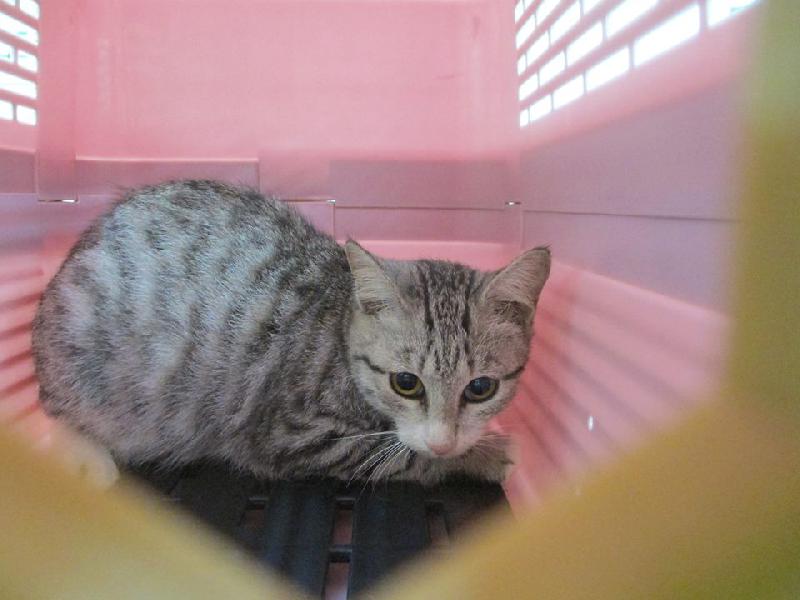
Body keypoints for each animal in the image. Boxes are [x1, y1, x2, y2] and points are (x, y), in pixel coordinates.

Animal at [31, 180, 550, 487]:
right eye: (406, 383)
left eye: (480, 388)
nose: (445, 439)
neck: (339, 330)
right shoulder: (290, 437)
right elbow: (404, 458)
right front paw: (484, 455)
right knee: (61, 419)